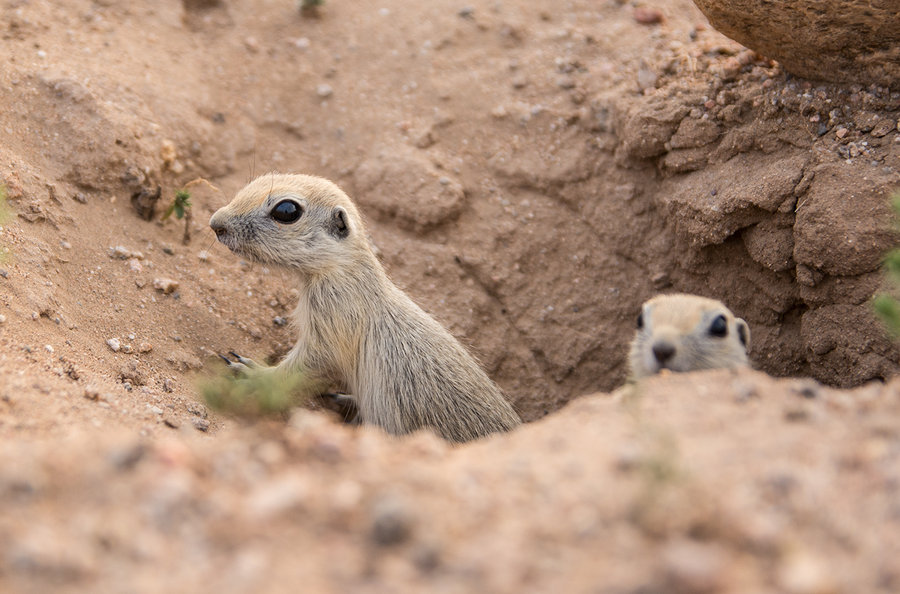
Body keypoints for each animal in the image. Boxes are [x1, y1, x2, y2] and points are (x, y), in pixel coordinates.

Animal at [210, 171, 520, 440]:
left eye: (286, 211)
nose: (215, 223)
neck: (347, 272)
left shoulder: (332, 317)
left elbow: (305, 366)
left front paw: (252, 372)